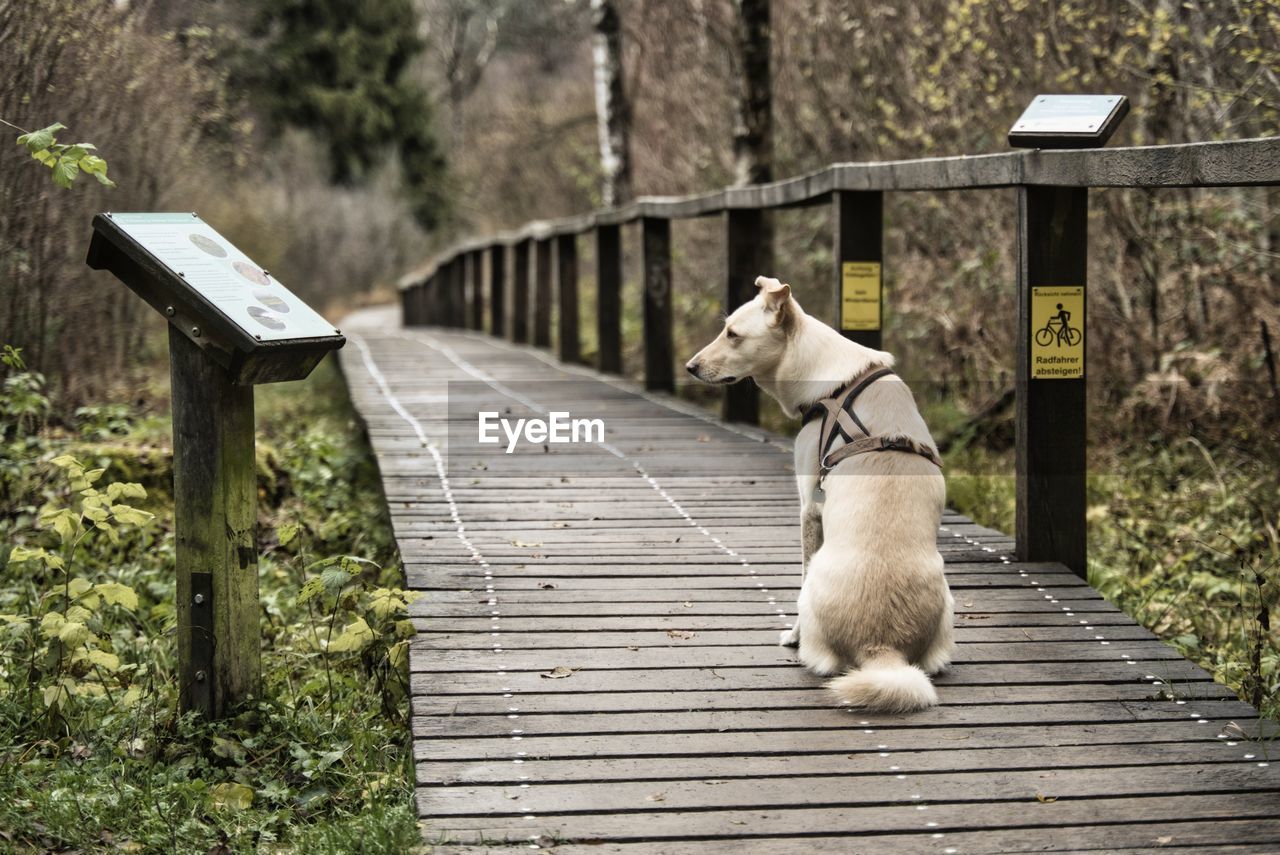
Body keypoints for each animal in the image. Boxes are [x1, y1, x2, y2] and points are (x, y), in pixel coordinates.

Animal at [691, 277, 952, 711]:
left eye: (733, 334)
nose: (690, 367)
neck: (837, 384)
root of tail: (882, 650)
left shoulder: (809, 508)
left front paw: (792, 636)